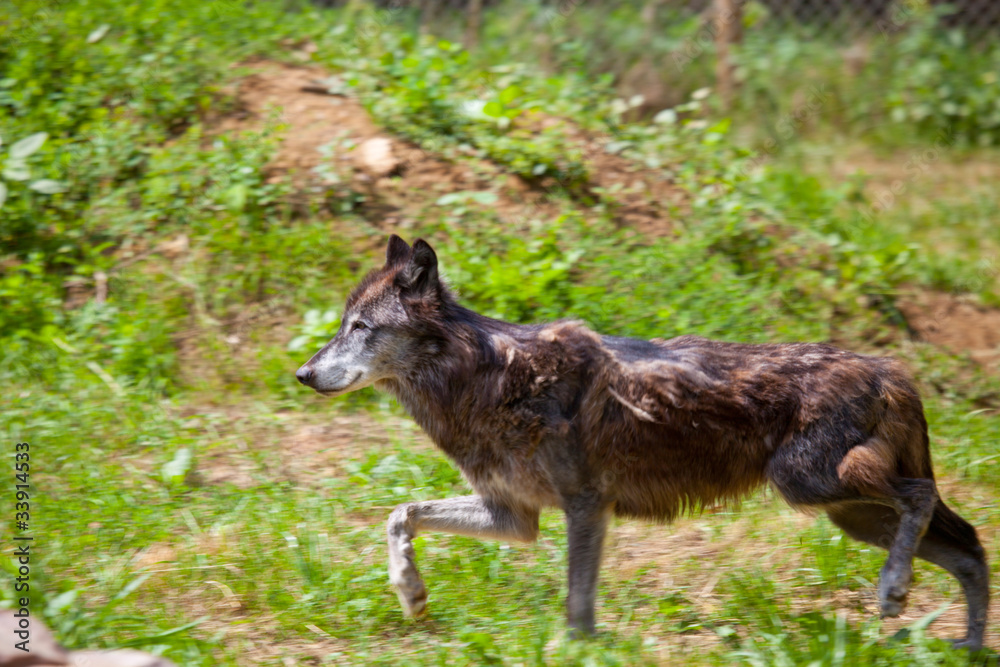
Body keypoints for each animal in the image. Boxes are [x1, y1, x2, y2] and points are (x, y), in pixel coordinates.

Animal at [296, 235, 989, 649]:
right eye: (342, 325)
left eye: (360, 327)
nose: (302, 374)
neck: (487, 376)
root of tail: (892, 368)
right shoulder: (514, 517)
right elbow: (399, 515)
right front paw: (411, 595)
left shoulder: (584, 506)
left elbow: (577, 601)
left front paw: (575, 650)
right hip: (847, 513)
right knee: (972, 549)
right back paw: (969, 647)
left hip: (816, 487)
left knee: (923, 497)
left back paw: (894, 589)